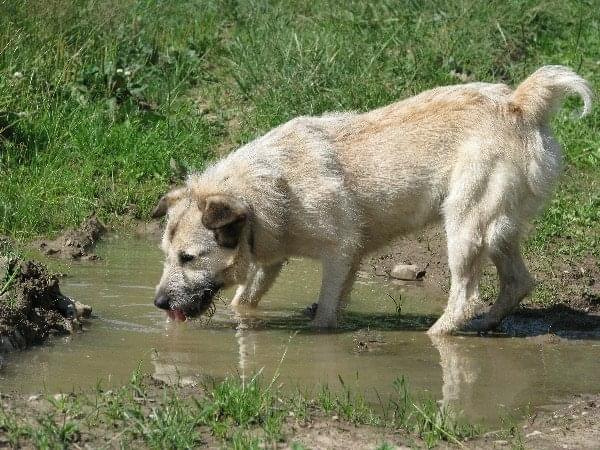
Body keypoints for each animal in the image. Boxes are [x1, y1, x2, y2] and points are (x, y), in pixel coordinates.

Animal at [152, 67, 592, 334]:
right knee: (518, 282)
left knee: (465, 296)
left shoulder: (340, 255)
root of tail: (519, 101)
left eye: (188, 258)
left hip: (465, 227)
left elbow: (326, 314)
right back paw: (485, 324)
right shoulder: (269, 257)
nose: (157, 302)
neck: (271, 190)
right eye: (166, 256)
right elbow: (244, 301)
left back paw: (438, 335)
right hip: (497, 229)